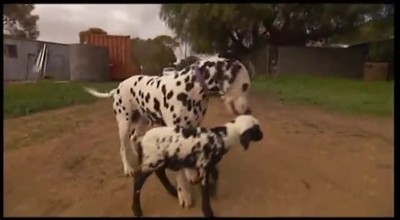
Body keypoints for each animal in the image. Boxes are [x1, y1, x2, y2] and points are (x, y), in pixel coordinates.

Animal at [84, 55, 250, 209]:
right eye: (245, 86)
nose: (249, 110)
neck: (191, 88)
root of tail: (119, 86)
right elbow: (179, 173)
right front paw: (184, 195)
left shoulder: (191, 128)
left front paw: (191, 174)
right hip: (124, 124)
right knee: (123, 147)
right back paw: (128, 168)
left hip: (142, 122)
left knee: (134, 138)